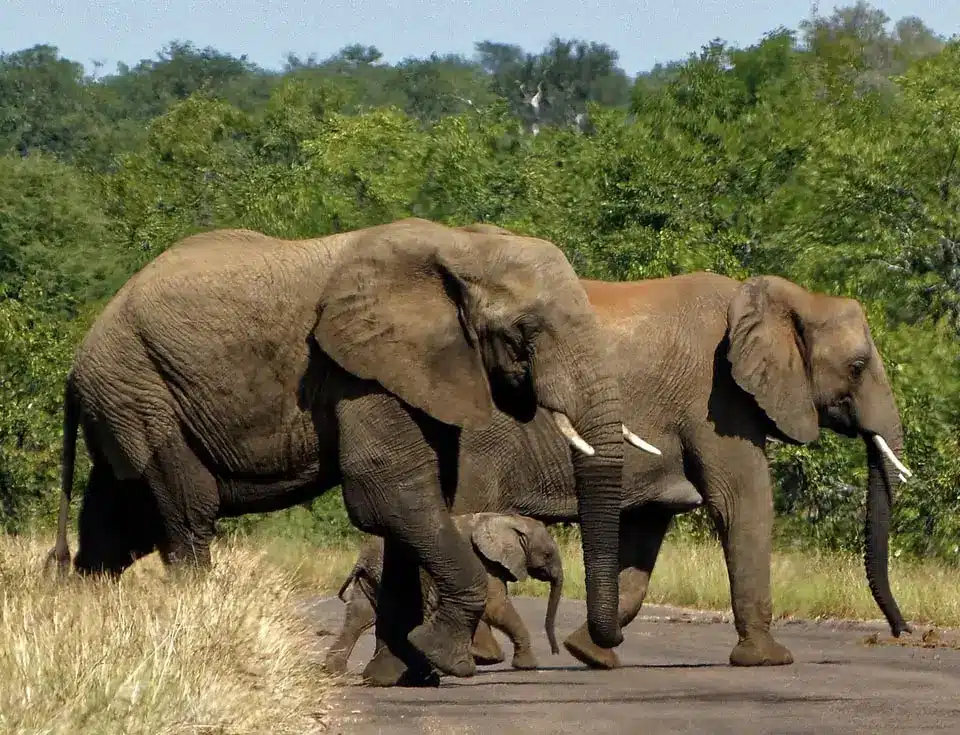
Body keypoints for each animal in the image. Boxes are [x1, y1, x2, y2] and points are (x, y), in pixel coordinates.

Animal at [322, 516, 564, 676]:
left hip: (373, 578)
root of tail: (361, 558)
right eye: (547, 554)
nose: (556, 651)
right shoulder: (482, 563)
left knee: (359, 618)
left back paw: (334, 672)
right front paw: (524, 666)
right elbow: (494, 605)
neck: (508, 520)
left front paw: (485, 659)